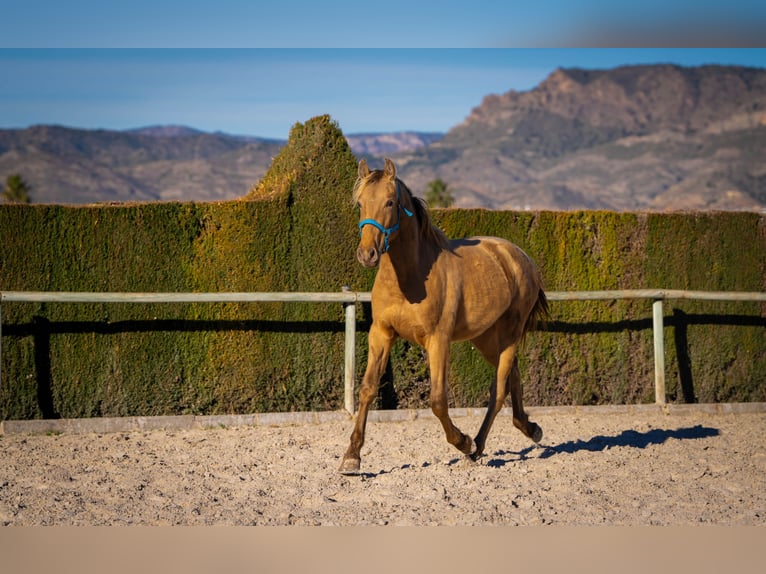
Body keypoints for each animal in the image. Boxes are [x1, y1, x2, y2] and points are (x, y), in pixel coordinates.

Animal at [340, 159, 548, 476]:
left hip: (510, 334)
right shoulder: (382, 333)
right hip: (486, 339)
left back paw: (476, 447)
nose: (367, 254)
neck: (410, 276)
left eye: (390, 202)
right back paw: (528, 429)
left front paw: (462, 441)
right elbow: (367, 389)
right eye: (360, 203)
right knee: (513, 377)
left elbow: (438, 400)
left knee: (498, 390)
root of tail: (520, 257)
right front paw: (352, 457)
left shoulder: (438, 340)